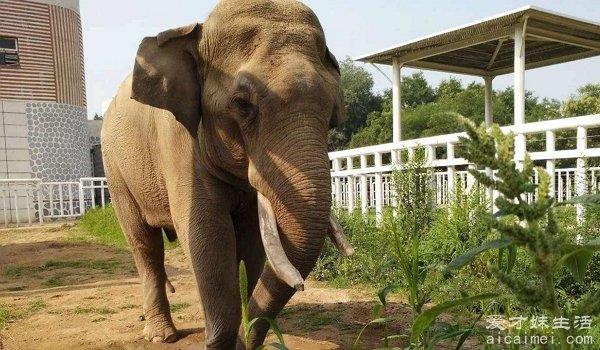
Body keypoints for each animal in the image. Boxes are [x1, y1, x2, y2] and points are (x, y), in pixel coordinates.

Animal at [101, 0, 354, 348]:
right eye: (242, 104)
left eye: (333, 114)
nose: (246, 338)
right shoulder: (179, 144)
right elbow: (207, 236)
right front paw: (221, 341)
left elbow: (250, 242)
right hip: (115, 169)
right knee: (144, 243)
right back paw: (162, 335)